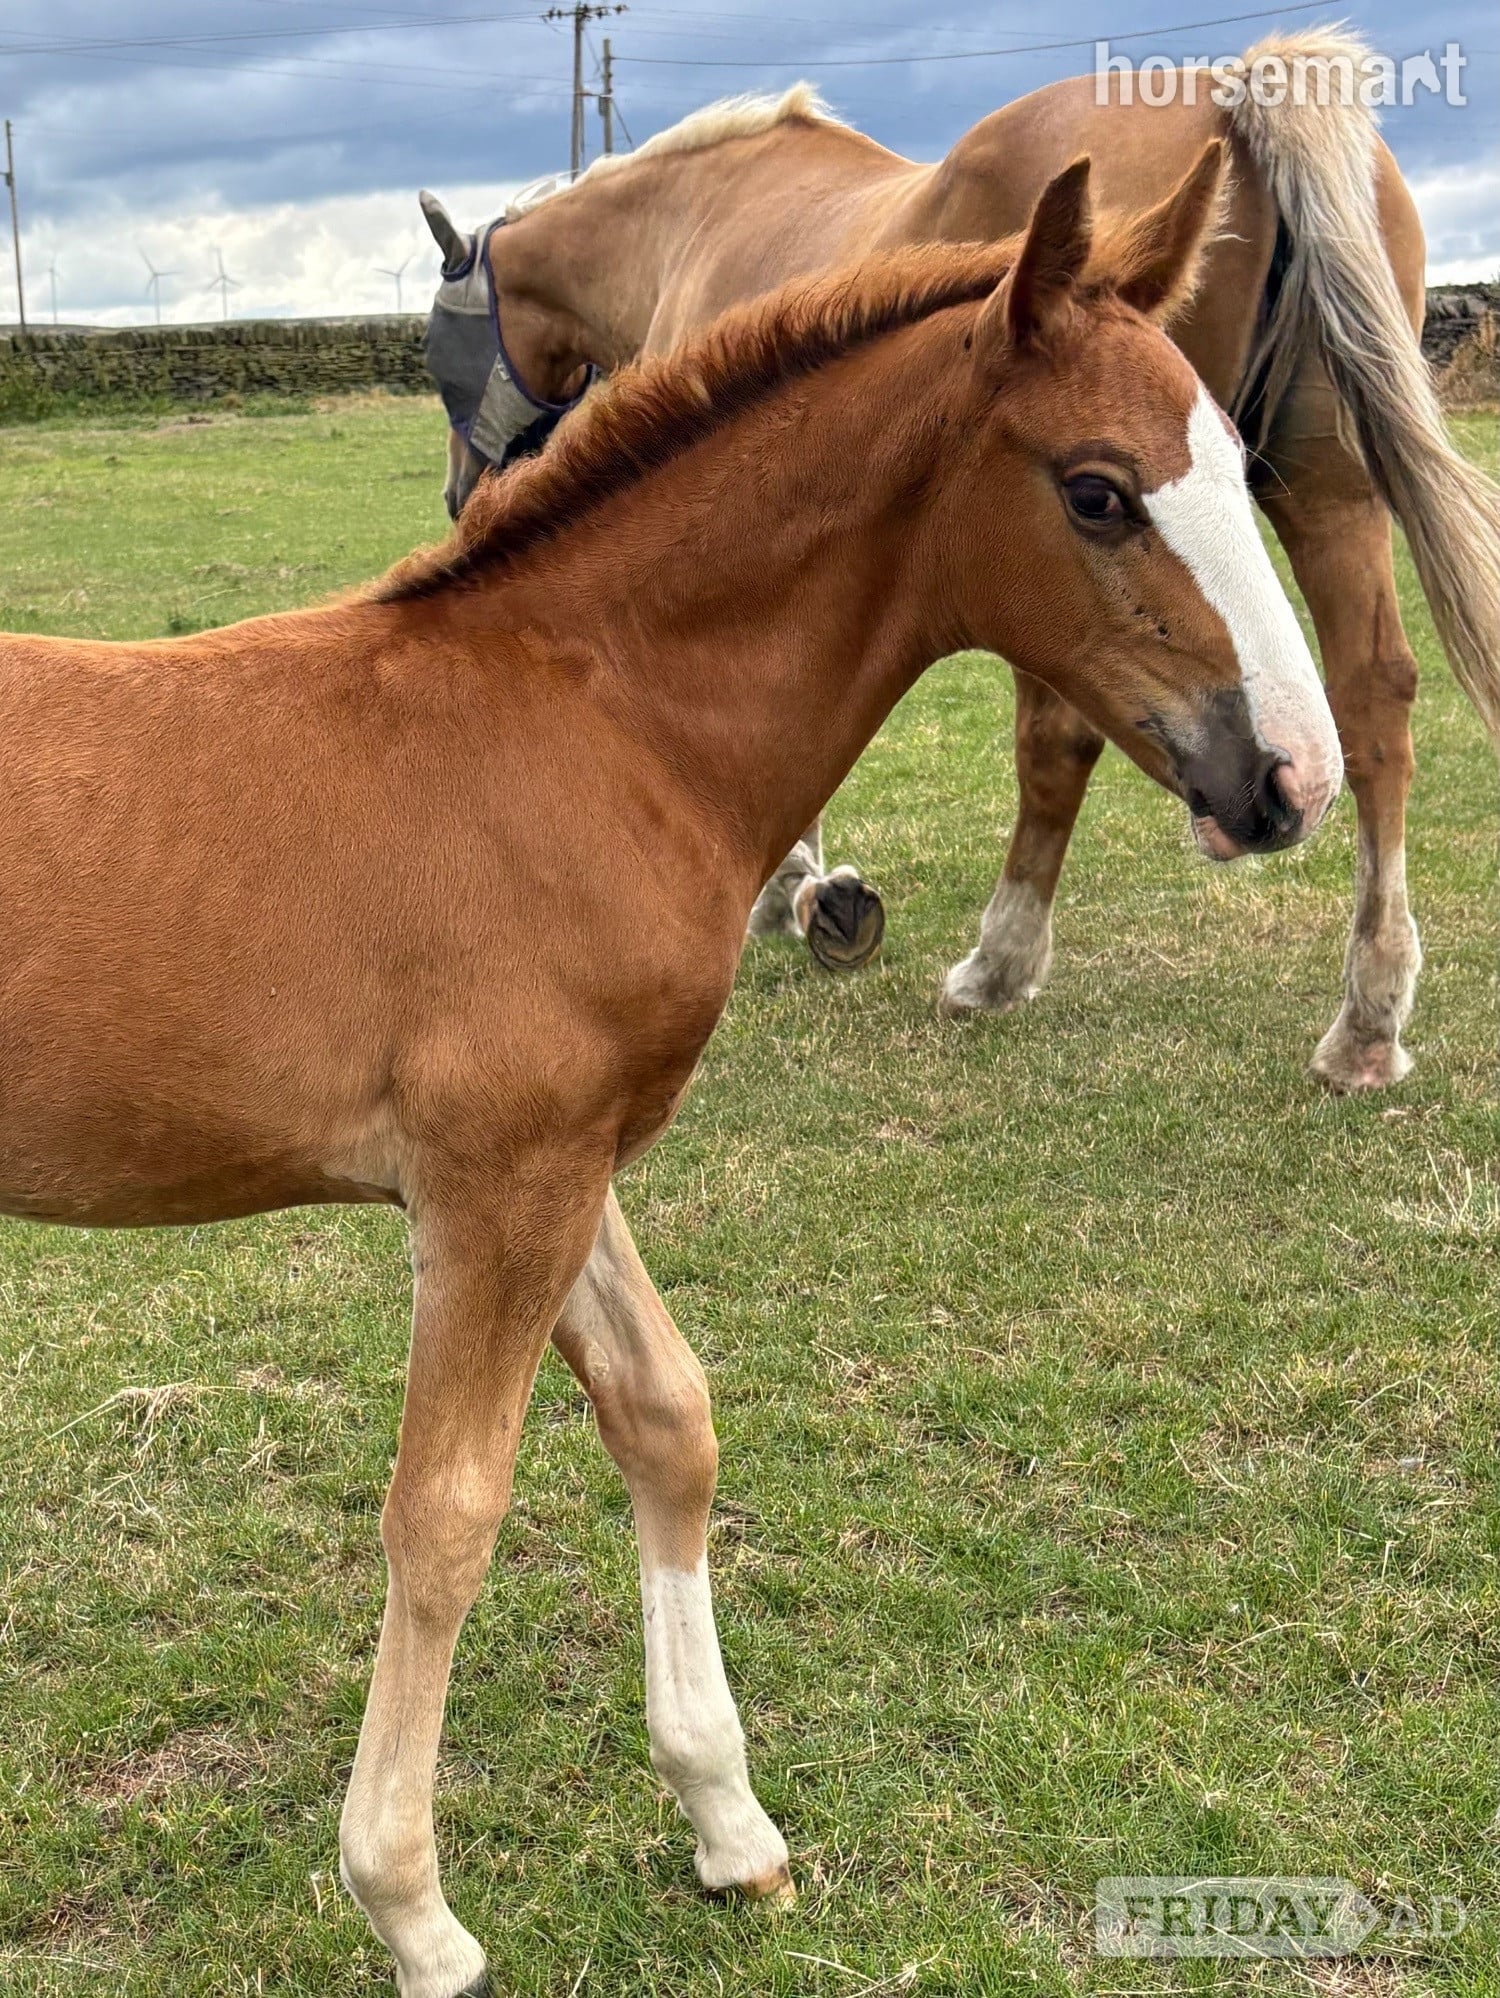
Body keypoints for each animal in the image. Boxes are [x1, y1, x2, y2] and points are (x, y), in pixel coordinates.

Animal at [1, 157, 1341, 1995]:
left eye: (1234, 460)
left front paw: (728, 1817)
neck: (587, 727)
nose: (1290, 780)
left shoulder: (564, 1164)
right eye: (1097, 491)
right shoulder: (496, 1186)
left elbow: (667, 1416)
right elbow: (447, 1510)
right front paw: (412, 1908)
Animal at [420, 29, 1500, 1093]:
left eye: (436, 351)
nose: (462, 493)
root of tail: (1236, 91)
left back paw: (1001, 961)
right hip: (1329, 494)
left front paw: (802, 890)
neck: (687, 220)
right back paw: (1367, 1018)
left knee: (1061, 740)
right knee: (1373, 700)